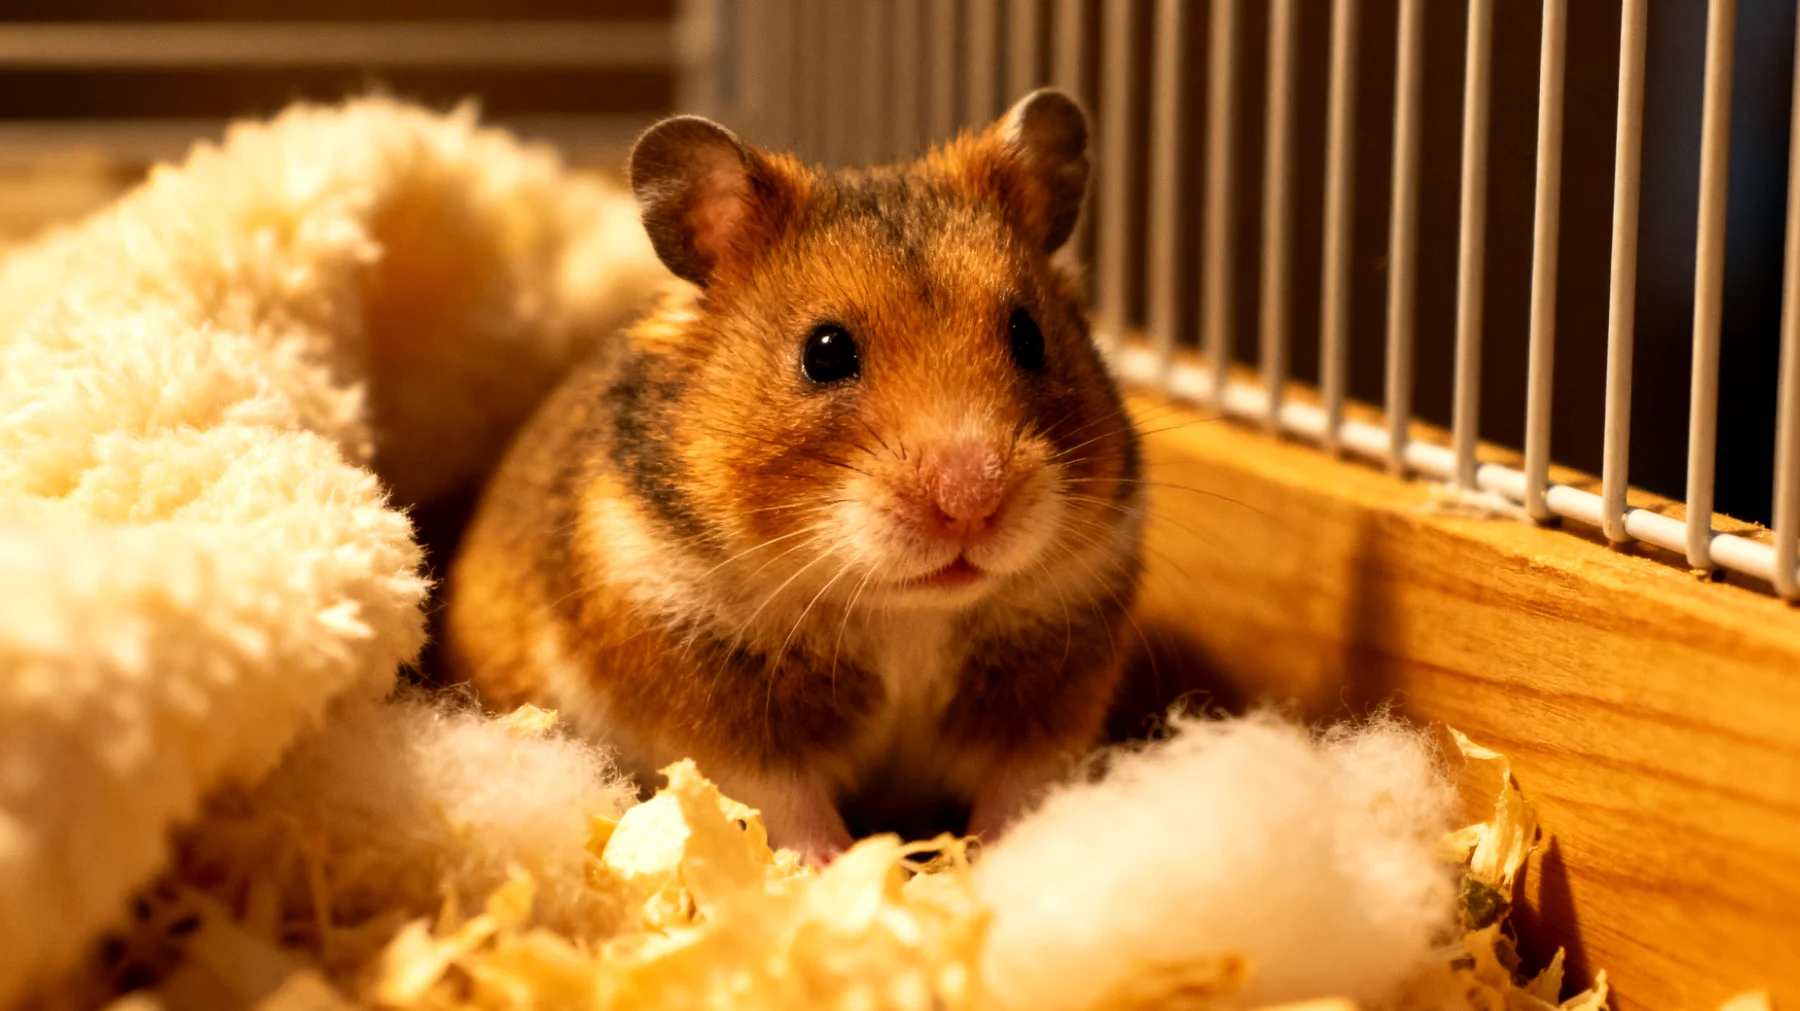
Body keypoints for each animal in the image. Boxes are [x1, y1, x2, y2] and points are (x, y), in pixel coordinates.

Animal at [443, 89, 1145, 867]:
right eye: (826, 351)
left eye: (1030, 335)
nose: (972, 503)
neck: (907, 614)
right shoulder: (705, 691)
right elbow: (782, 800)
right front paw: (833, 865)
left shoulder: (1055, 680)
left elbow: (1019, 785)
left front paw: (998, 857)